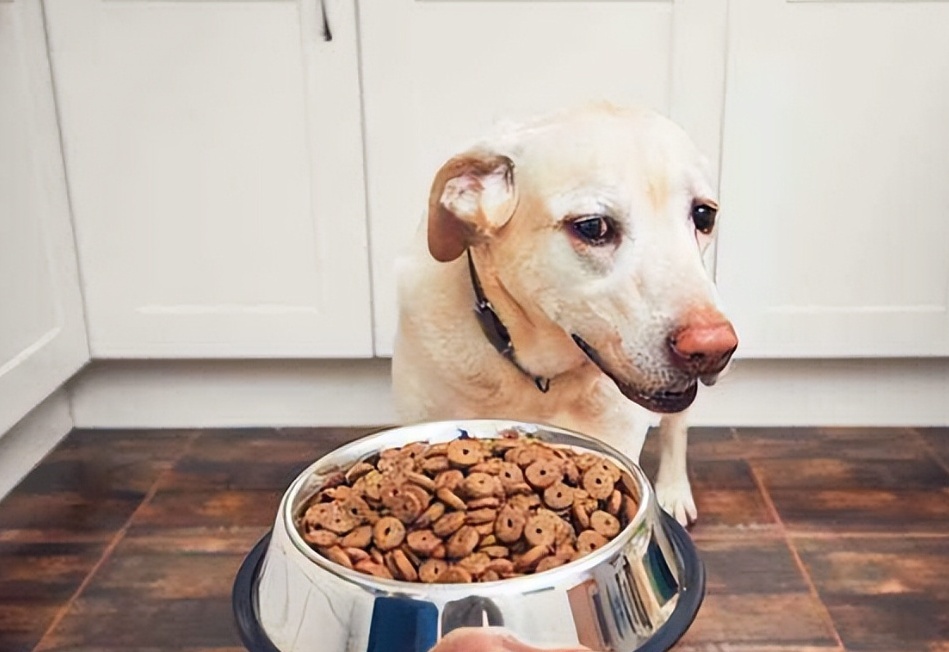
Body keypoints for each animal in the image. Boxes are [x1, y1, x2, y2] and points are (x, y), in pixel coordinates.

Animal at [388, 105, 736, 524]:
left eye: (704, 215)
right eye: (593, 226)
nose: (713, 348)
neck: (538, 376)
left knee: (676, 428)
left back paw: (673, 489)